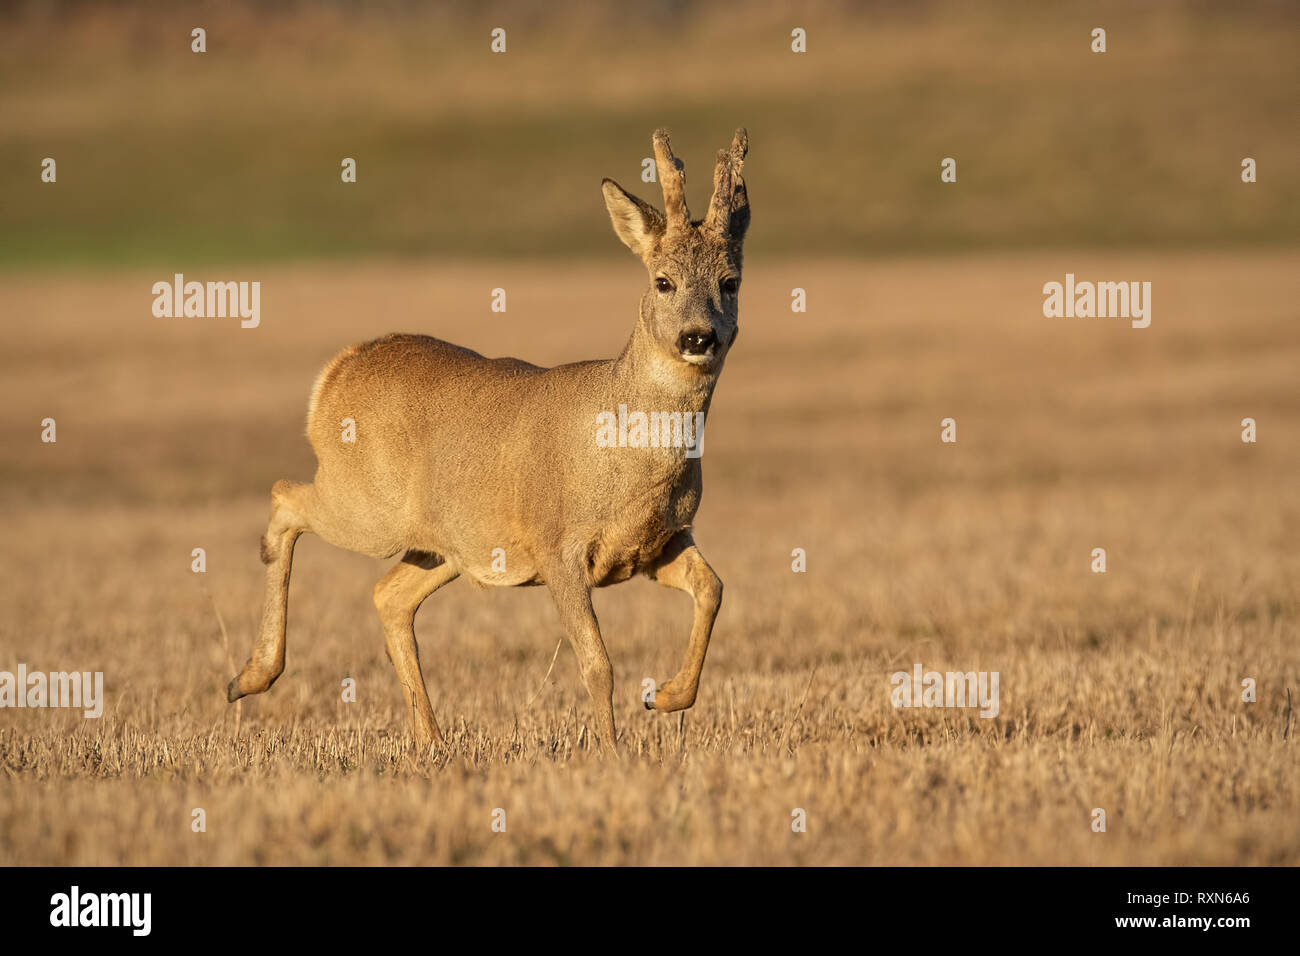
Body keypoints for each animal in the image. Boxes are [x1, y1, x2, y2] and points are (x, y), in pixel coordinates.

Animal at [227, 127, 748, 754]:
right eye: (662, 281)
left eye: (730, 282)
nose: (699, 337)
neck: (629, 454)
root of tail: (335, 372)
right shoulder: (557, 546)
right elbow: (597, 664)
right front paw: (612, 751)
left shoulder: (658, 544)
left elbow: (714, 587)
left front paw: (666, 696)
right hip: (368, 507)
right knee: (285, 498)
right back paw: (249, 677)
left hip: (446, 544)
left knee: (388, 595)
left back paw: (431, 741)